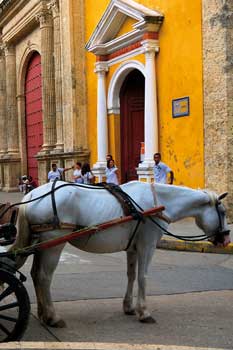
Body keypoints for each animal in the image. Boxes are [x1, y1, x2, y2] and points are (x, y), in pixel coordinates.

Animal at [10, 179, 229, 326]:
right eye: (224, 212)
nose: (226, 239)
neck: (157, 202)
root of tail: (31, 196)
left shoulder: (132, 248)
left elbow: (131, 275)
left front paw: (129, 307)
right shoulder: (147, 245)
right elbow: (142, 277)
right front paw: (144, 312)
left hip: (42, 244)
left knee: (35, 274)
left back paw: (42, 313)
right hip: (54, 244)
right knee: (44, 277)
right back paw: (53, 317)